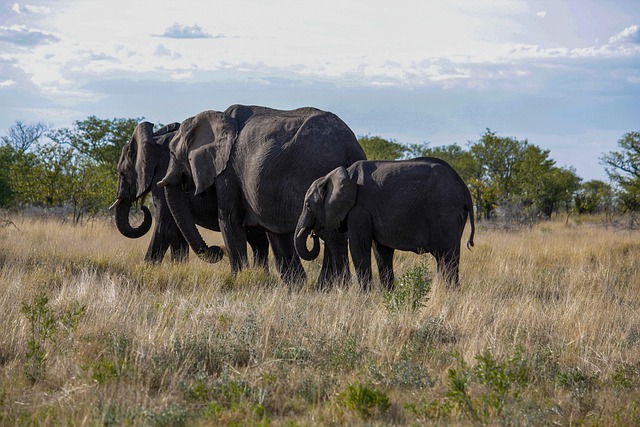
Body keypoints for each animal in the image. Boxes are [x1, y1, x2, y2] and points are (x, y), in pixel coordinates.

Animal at [111, 121, 268, 268]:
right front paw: (179, 266)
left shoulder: (162, 174)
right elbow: (177, 232)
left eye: (121, 173)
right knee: (259, 240)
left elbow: (165, 223)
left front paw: (148, 268)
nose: (218, 250)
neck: (155, 138)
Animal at [156, 105, 364, 290]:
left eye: (172, 153)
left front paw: (237, 281)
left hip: (319, 170)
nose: (216, 251)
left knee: (330, 233)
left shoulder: (228, 171)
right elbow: (275, 232)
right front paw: (296, 285)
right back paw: (326, 286)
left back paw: (334, 286)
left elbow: (229, 220)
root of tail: (351, 145)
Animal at [296, 157, 476, 290]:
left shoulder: (360, 209)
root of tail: (465, 190)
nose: (313, 233)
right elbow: (381, 250)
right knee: (445, 260)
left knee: (448, 258)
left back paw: (450, 294)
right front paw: (387, 293)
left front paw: (364, 295)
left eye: (308, 206)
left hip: (446, 212)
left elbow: (359, 245)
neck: (340, 174)